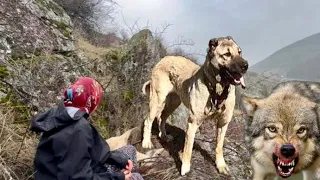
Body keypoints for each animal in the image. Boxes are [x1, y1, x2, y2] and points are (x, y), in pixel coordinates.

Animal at [141, 36, 249, 176]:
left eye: (239, 52)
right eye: (227, 54)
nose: (246, 65)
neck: (218, 89)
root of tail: (163, 59)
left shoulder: (223, 123)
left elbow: (219, 146)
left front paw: (221, 165)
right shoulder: (193, 123)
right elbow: (188, 148)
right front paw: (185, 167)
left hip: (174, 102)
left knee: (162, 117)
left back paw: (164, 135)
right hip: (157, 100)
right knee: (148, 120)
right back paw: (146, 142)